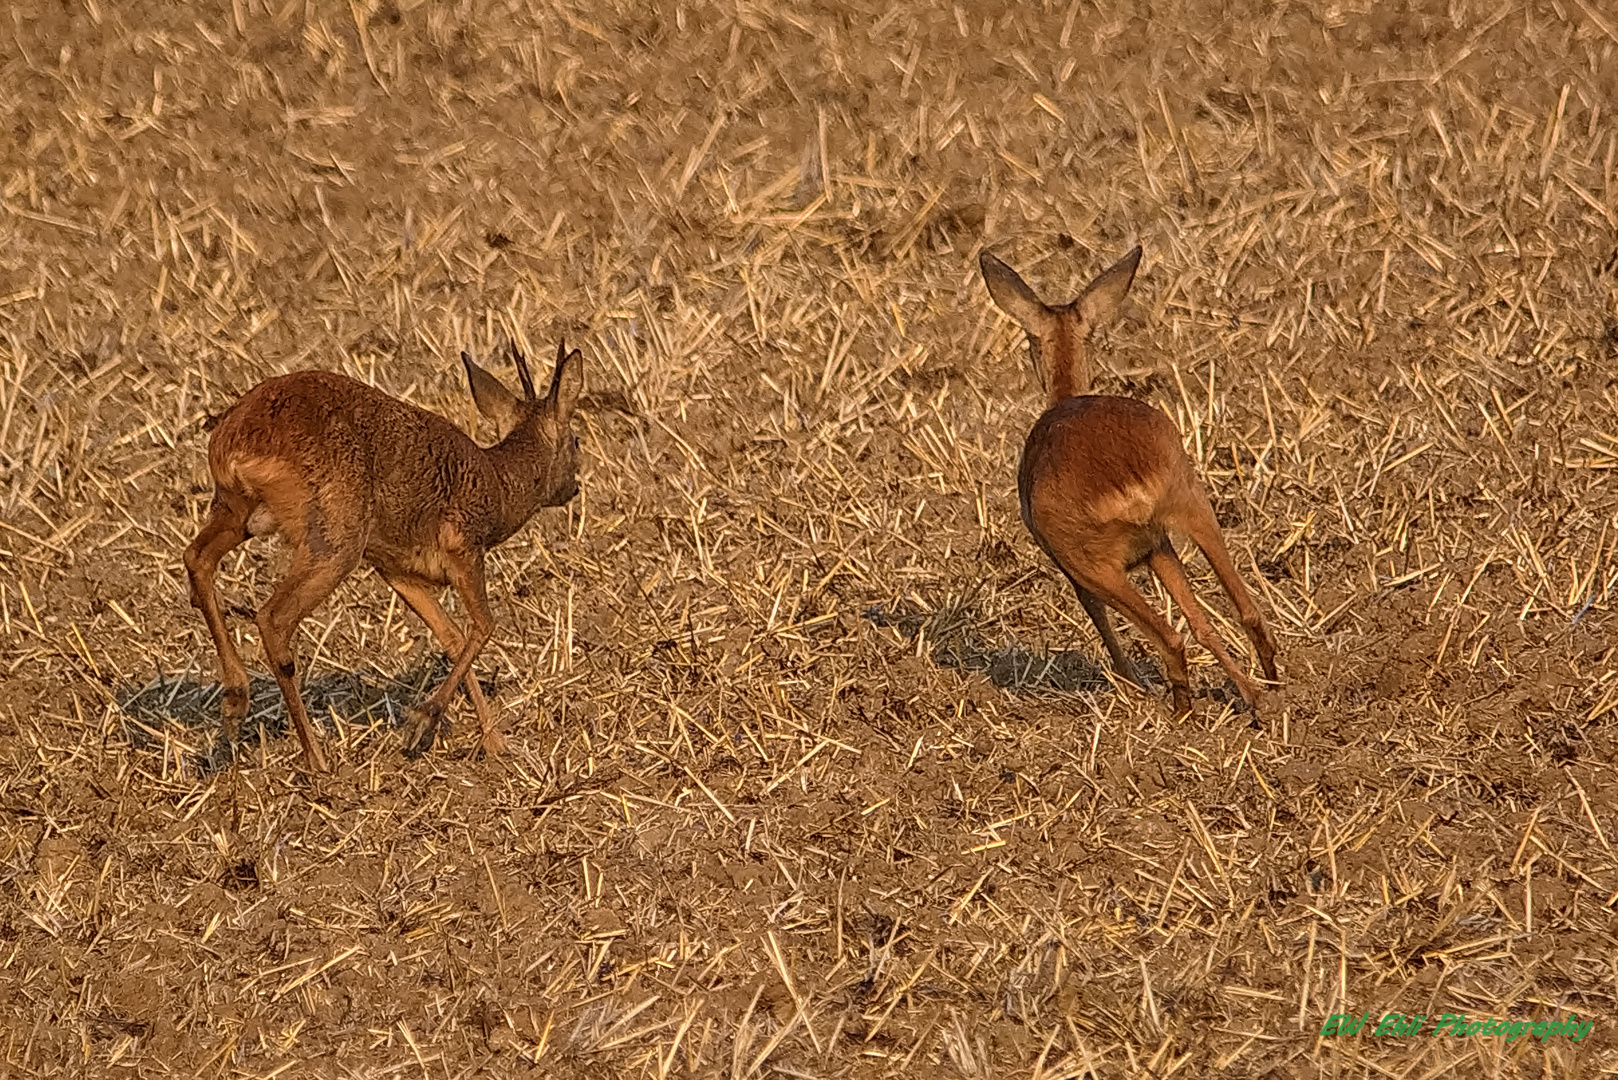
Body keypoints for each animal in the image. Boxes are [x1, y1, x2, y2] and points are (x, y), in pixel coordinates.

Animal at [185, 341, 588, 773]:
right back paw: (316, 757)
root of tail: (237, 440)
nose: (573, 487)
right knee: (273, 616)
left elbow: (450, 636)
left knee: (197, 558)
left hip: (238, 509)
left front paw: (493, 741)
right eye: (576, 441)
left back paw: (234, 704)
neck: (499, 486)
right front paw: (422, 723)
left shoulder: (396, 569)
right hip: (335, 533)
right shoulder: (463, 546)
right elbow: (483, 626)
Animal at [977, 247, 1281, 718]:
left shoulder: (1068, 565)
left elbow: (1096, 614)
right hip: (1190, 507)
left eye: (1029, 339)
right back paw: (1265, 691)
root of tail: (1128, 486)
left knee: (1168, 636)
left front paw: (1132, 683)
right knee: (1242, 612)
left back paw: (1180, 709)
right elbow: (1202, 620)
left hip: (1093, 563)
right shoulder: (1157, 547)